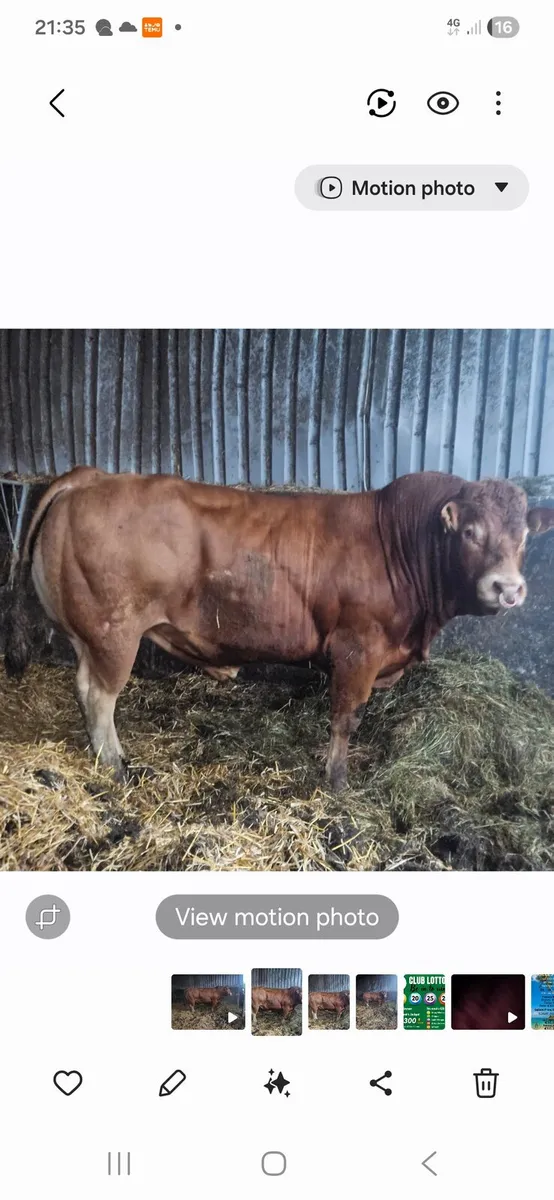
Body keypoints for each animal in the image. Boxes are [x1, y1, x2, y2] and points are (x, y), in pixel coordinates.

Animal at [4, 467, 554, 790]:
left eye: (525, 537)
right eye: (470, 532)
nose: (508, 588)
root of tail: (91, 476)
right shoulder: (358, 648)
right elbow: (346, 718)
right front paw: (336, 782)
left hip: (89, 634)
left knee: (84, 689)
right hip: (114, 632)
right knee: (100, 698)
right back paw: (118, 768)